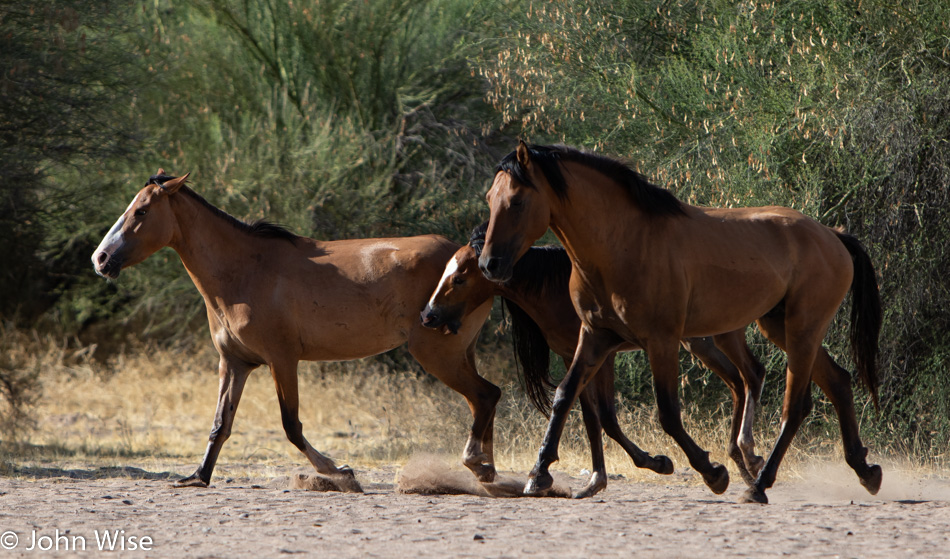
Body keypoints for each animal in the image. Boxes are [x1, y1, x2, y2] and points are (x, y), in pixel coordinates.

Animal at [91, 170, 506, 490]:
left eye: (141, 210)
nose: (101, 258)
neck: (246, 270)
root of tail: (471, 260)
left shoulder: (282, 360)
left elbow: (290, 425)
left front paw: (339, 471)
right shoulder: (235, 363)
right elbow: (220, 424)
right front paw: (197, 477)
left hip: (438, 354)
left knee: (485, 396)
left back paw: (481, 469)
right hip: (458, 353)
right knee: (484, 401)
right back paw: (488, 472)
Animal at [424, 221, 772, 496]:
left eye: (459, 278)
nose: (428, 315)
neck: (553, 287)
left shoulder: (602, 357)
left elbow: (604, 417)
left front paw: (656, 463)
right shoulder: (576, 356)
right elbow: (591, 416)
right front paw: (596, 480)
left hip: (713, 340)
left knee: (749, 376)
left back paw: (746, 461)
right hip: (703, 343)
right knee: (739, 382)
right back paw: (744, 466)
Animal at [484, 142, 884, 506]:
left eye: (516, 201)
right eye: (490, 198)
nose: (490, 264)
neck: (624, 243)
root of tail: (832, 235)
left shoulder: (661, 340)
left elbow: (668, 414)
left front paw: (713, 473)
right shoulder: (594, 337)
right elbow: (565, 397)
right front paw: (538, 475)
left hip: (802, 329)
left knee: (795, 406)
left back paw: (758, 485)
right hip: (781, 328)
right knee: (837, 381)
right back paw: (866, 472)